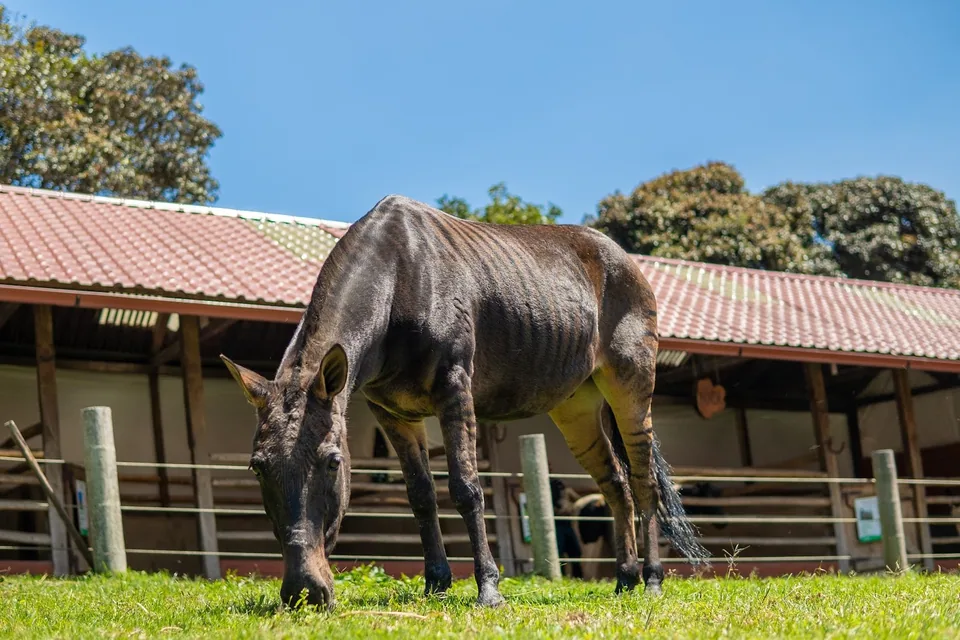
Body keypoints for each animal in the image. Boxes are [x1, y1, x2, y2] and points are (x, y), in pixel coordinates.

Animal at [220, 195, 709, 610]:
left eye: (333, 461)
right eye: (257, 467)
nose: (303, 593)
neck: (397, 281)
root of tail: (625, 258)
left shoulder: (455, 388)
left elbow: (466, 488)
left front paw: (489, 589)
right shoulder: (391, 411)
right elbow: (421, 496)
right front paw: (436, 583)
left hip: (631, 384)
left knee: (644, 482)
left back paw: (651, 579)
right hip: (576, 405)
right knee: (615, 484)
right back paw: (624, 579)